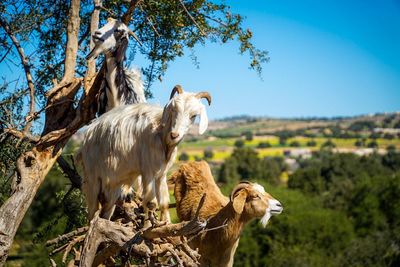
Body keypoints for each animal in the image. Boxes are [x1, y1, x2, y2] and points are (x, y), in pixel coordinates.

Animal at [76, 85, 211, 224]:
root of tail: (86, 139)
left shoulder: (161, 174)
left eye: (193, 116)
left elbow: (164, 203)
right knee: (93, 211)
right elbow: (151, 204)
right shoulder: (148, 171)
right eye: (173, 110)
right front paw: (149, 226)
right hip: (92, 179)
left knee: (105, 211)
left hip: (113, 185)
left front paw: (166, 224)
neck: (159, 132)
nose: (174, 135)